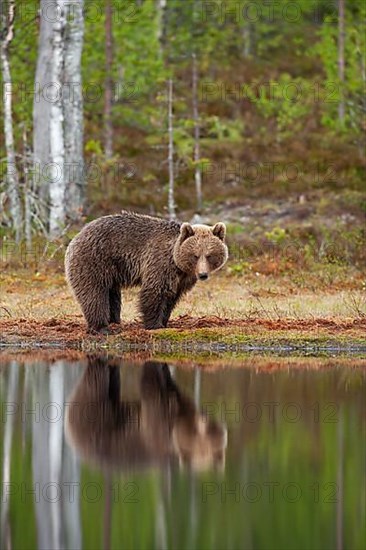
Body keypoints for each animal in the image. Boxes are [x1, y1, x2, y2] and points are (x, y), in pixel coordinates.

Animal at [64, 210, 227, 332]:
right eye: (195, 255)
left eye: (210, 255)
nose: (203, 275)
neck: (177, 264)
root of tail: (76, 237)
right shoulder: (160, 263)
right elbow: (155, 291)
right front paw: (154, 325)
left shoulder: (183, 278)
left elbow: (172, 297)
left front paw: (164, 320)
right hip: (94, 260)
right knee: (94, 292)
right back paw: (101, 327)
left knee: (112, 293)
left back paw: (114, 321)